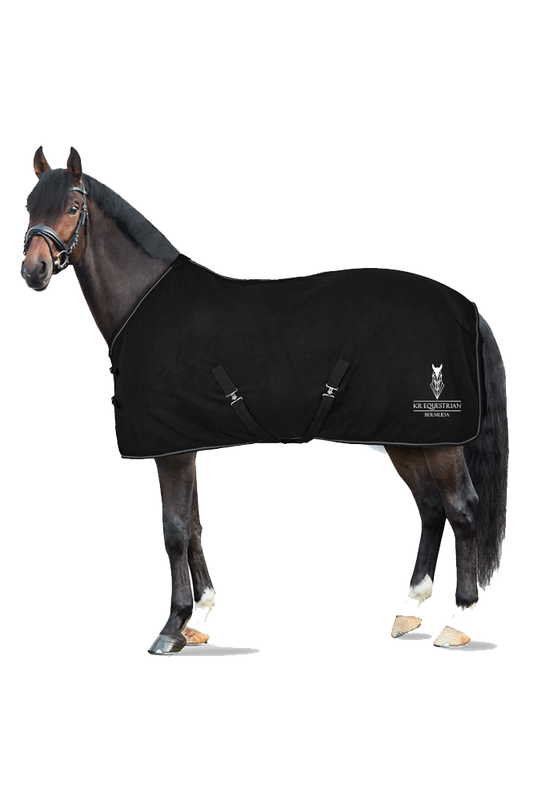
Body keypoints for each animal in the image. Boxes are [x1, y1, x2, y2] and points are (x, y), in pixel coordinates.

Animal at [19, 144, 509, 655]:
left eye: (72, 207)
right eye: (30, 208)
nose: (34, 271)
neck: (143, 303)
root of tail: (468, 308)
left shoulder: (170, 450)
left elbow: (175, 529)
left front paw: (171, 628)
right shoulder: (186, 442)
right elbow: (194, 525)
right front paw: (200, 615)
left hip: (440, 438)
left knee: (462, 509)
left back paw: (457, 618)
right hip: (407, 437)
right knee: (432, 509)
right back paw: (409, 610)